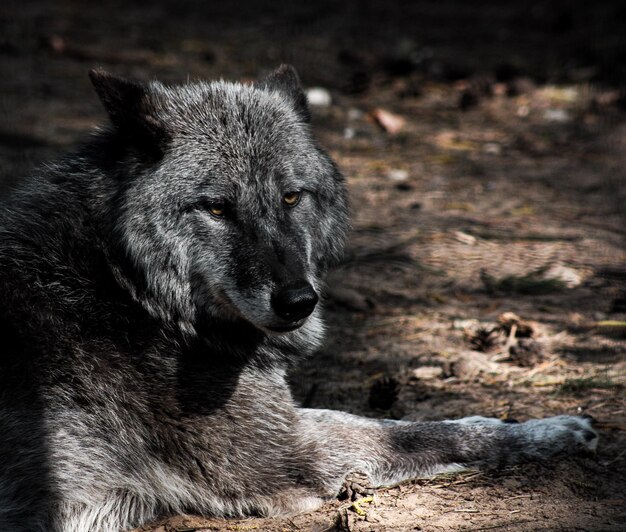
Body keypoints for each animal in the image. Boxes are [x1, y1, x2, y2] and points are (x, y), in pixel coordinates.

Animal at [0, 64, 596, 528]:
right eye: (216, 207)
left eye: (291, 197)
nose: (298, 302)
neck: (127, 287)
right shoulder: (286, 455)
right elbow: (416, 433)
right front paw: (548, 430)